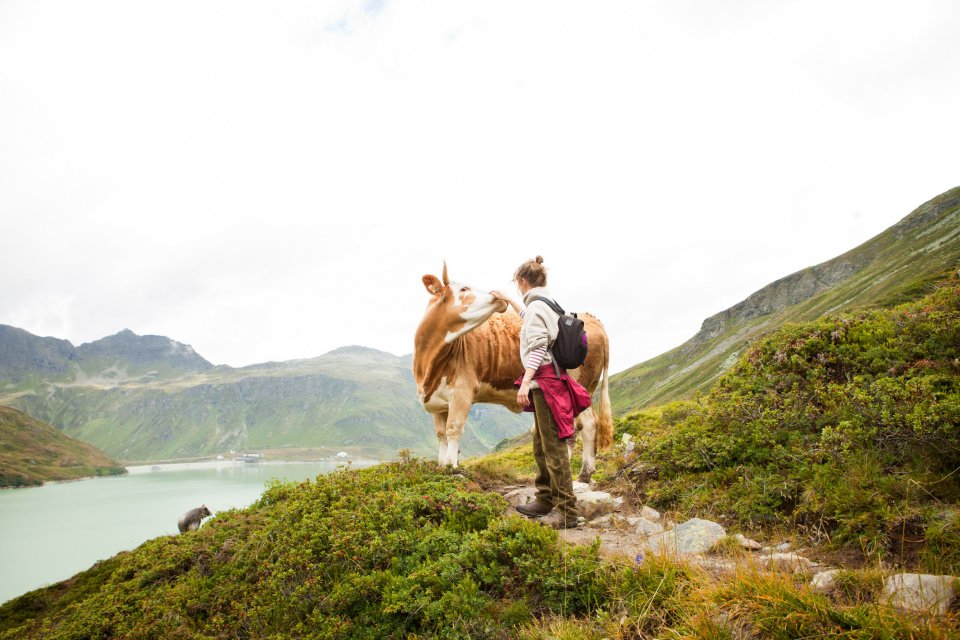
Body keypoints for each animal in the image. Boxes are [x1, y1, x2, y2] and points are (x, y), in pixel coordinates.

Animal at [414, 262, 616, 482]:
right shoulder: (437, 401)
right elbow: (441, 435)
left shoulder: (462, 390)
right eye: (464, 288)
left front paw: (452, 469)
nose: (496, 296)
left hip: (580, 386)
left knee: (585, 425)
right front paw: (441, 468)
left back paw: (582, 473)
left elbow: (453, 429)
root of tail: (592, 318)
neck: (428, 365)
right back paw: (582, 473)